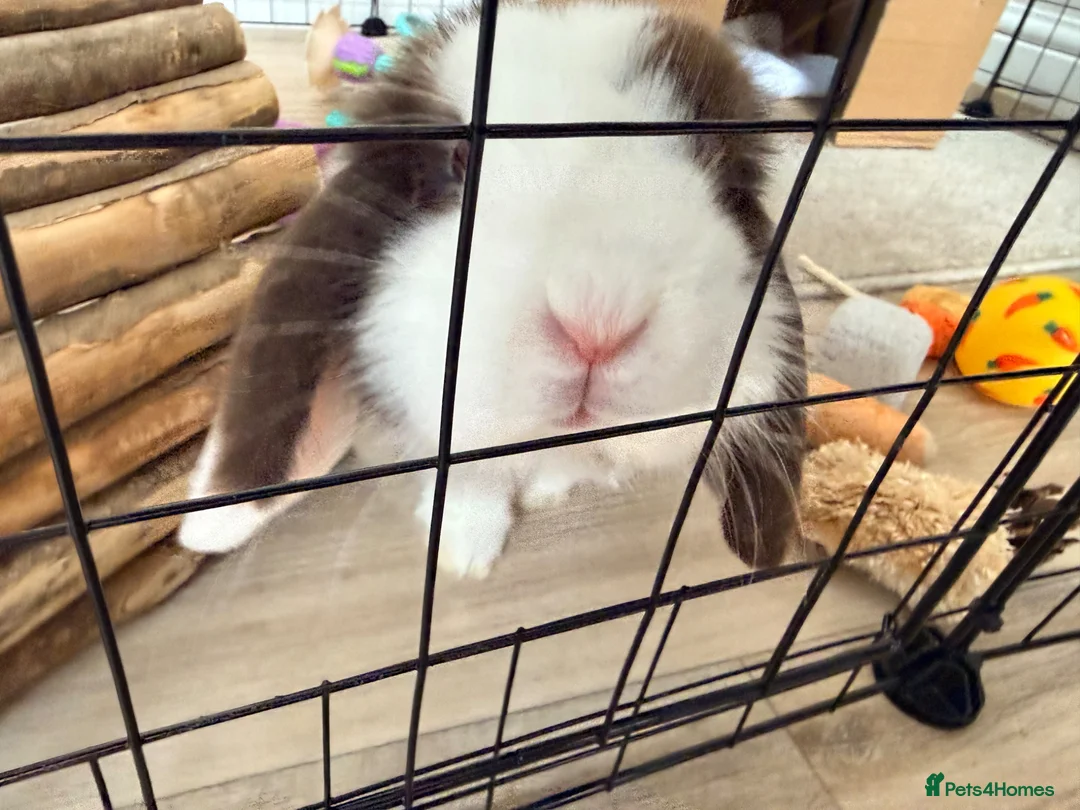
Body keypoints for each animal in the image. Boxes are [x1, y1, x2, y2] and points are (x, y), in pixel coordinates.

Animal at [177, 1, 808, 579]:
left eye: (724, 177)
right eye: (459, 159)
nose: (598, 325)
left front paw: (544, 495)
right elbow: (469, 477)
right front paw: (463, 553)